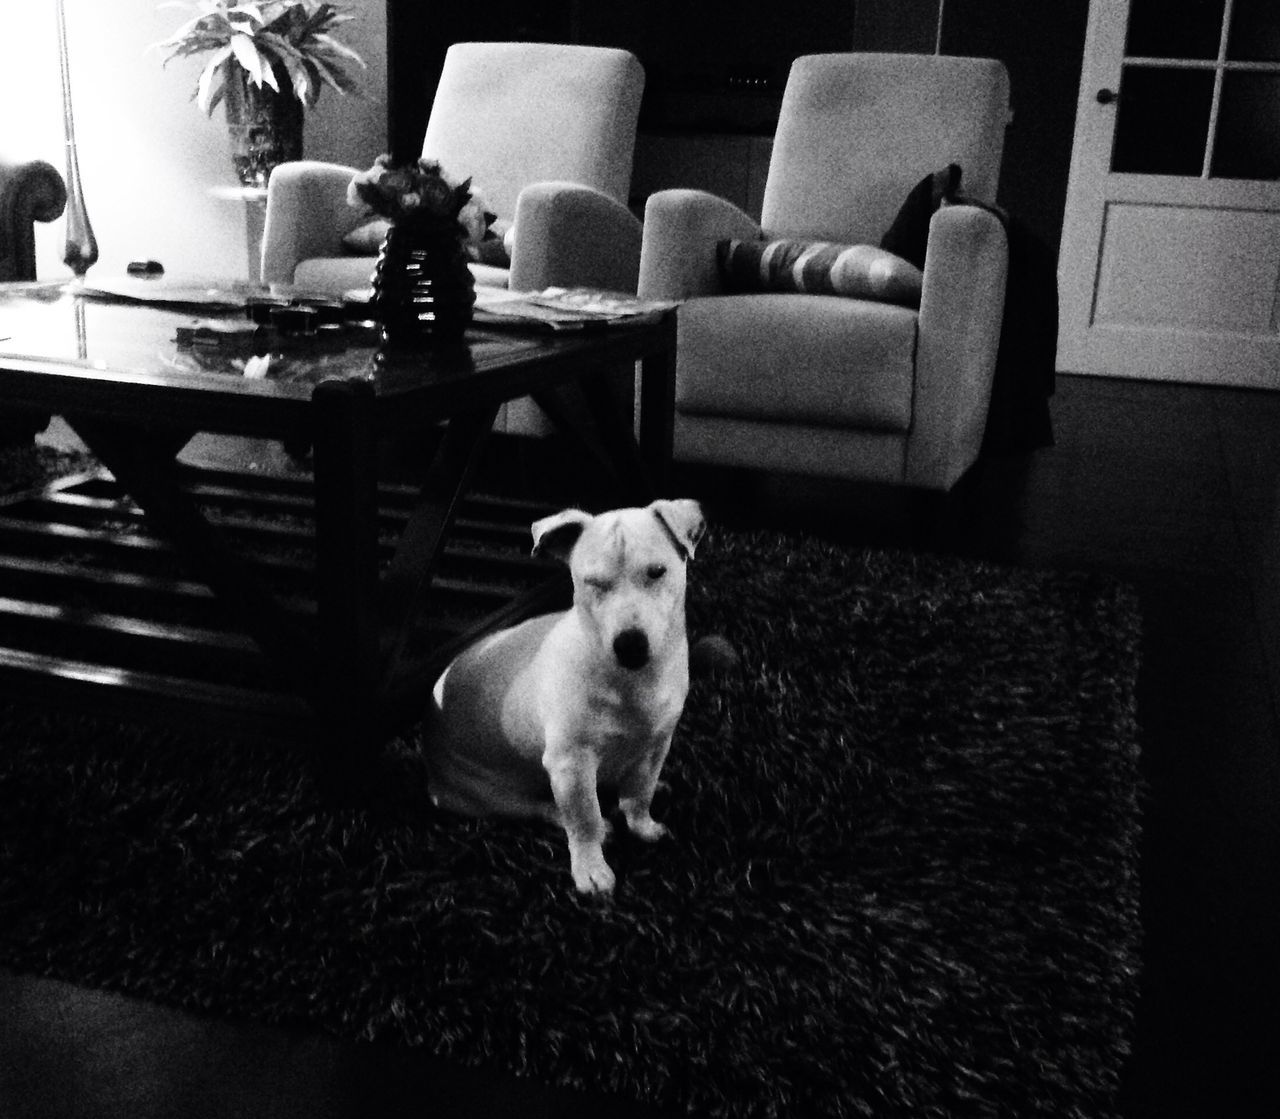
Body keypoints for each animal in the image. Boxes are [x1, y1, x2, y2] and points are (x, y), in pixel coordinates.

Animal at [424, 496, 706, 891]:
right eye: (593, 582)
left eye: (656, 572)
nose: (630, 645)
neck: (632, 681)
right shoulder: (571, 764)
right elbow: (584, 819)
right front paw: (591, 869)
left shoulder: (655, 745)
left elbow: (640, 792)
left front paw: (644, 826)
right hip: (491, 796)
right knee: (542, 809)